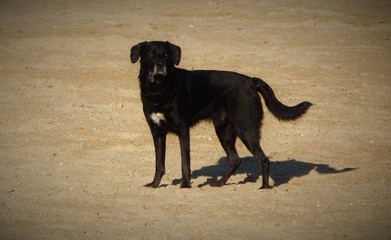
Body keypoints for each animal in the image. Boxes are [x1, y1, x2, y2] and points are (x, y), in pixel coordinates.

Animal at [130, 40, 314, 188]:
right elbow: (159, 164)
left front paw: (185, 185)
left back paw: (264, 187)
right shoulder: (157, 132)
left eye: (166, 55)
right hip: (224, 130)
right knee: (235, 159)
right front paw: (154, 185)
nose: (160, 64)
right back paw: (219, 183)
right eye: (150, 54)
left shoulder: (183, 131)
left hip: (246, 129)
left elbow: (185, 162)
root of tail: (251, 81)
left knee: (263, 158)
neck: (158, 89)